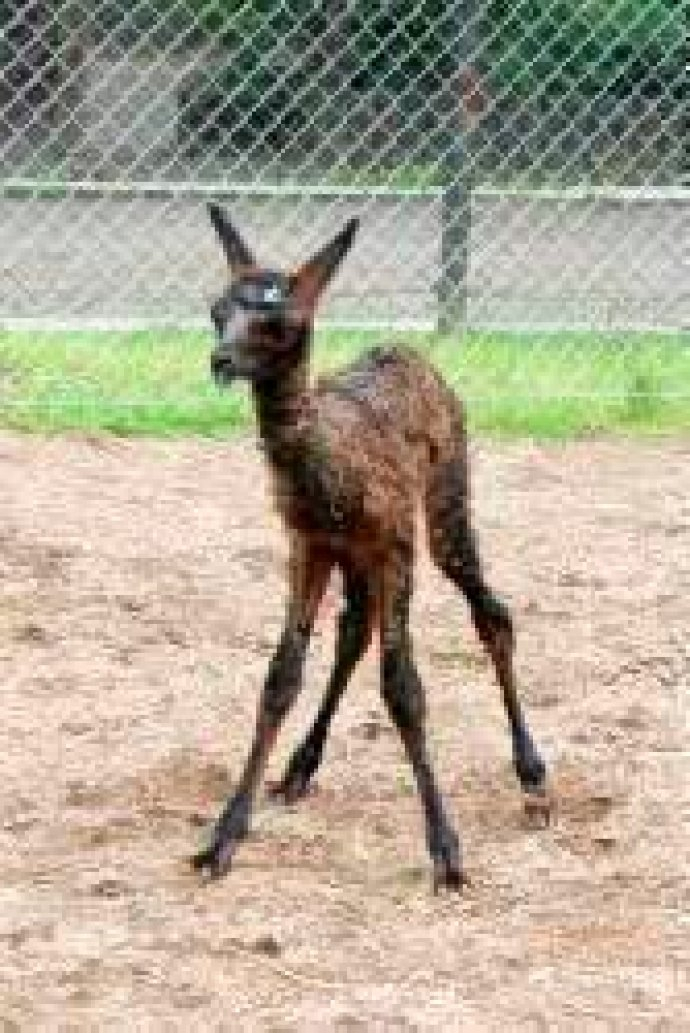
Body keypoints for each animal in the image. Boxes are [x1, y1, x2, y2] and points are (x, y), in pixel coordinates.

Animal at [191, 206, 552, 891]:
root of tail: (413, 356)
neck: (329, 472)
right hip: (357, 558)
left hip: (445, 505)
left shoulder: (393, 543)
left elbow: (404, 688)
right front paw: (221, 838)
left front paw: (447, 852)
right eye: (217, 309)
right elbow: (281, 675)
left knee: (491, 614)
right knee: (354, 631)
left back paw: (534, 779)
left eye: (280, 322)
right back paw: (301, 766)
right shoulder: (309, 544)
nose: (221, 360)